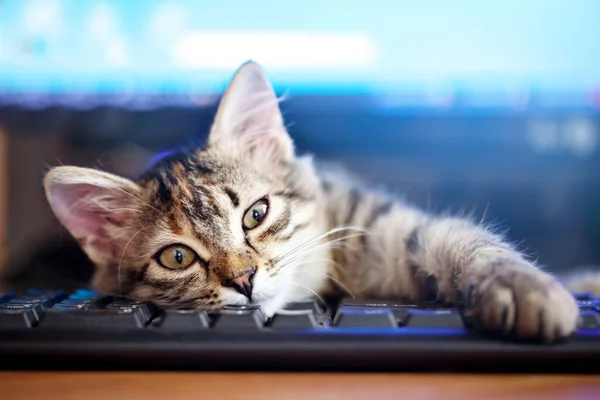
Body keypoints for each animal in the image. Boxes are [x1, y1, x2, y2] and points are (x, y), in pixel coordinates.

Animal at [43, 61, 592, 342]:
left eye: (256, 214)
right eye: (176, 257)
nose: (244, 280)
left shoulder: (394, 229)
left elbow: (474, 245)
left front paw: (524, 290)